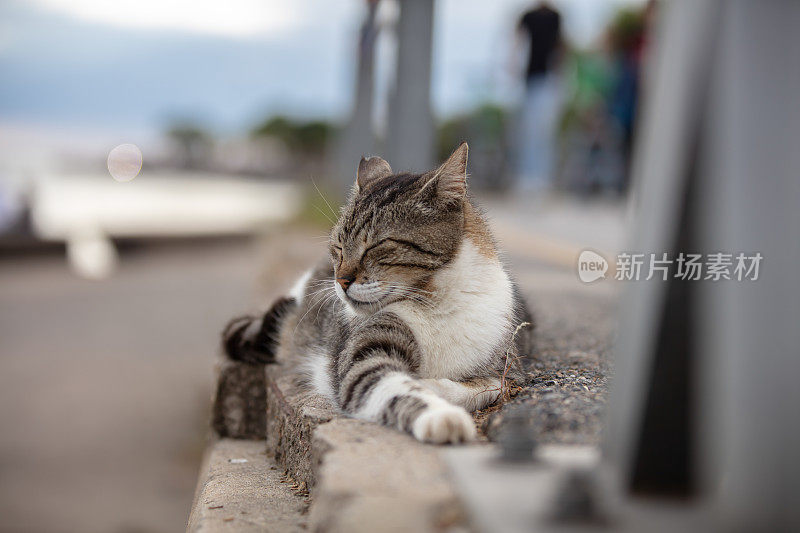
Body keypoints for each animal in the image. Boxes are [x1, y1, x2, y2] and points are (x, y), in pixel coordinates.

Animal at [220, 143, 532, 442]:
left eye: (377, 246)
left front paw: (435, 386)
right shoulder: (364, 361)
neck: (438, 302)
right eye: (338, 247)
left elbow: (487, 386)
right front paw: (440, 415)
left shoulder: (511, 371)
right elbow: (401, 388)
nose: (340, 280)